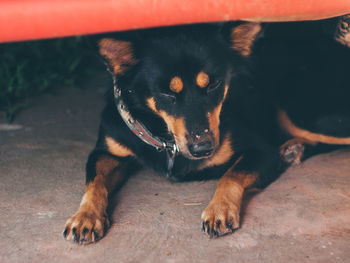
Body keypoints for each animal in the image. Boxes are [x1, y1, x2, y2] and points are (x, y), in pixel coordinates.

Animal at [63, 21, 350, 244]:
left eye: (214, 84)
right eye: (166, 93)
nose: (204, 149)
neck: (166, 139)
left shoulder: (261, 151)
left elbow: (230, 175)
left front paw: (219, 210)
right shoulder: (106, 152)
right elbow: (94, 182)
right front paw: (85, 217)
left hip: (297, 111)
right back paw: (295, 148)